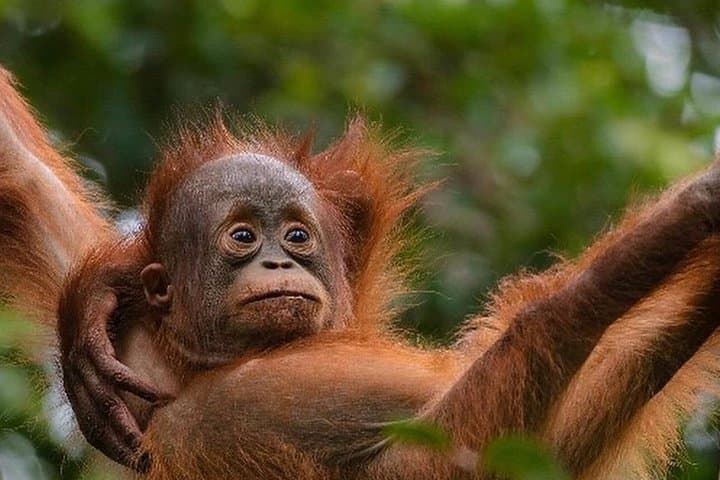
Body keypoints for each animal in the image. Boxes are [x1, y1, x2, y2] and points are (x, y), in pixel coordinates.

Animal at [3, 64, 720, 479]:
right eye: (242, 237)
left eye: (296, 236)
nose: (277, 259)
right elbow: (454, 460)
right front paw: (679, 218)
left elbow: (22, 182)